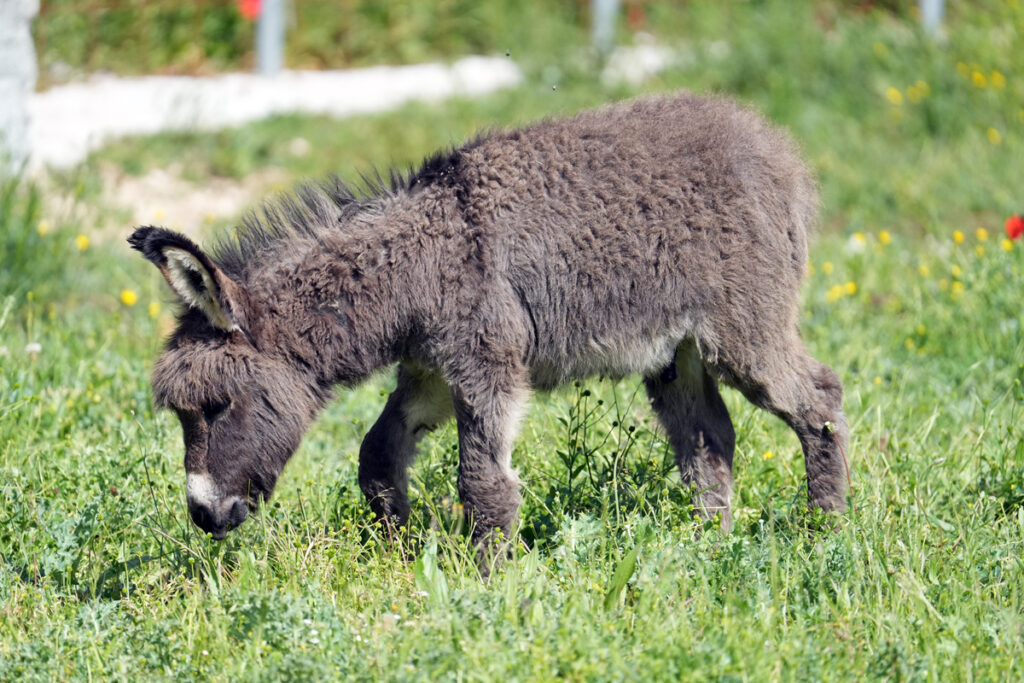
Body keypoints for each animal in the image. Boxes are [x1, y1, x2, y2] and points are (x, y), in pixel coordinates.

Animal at [128, 92, 847, 565]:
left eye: (217, 406)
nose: (203, 515)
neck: (421, 262)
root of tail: (777, 151)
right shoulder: (429, 374)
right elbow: (377, 457)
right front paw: (396, 553)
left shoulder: (486, 367)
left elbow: (483, 484)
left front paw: (490, 586)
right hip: (676, 354)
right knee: (708, 439)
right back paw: (706, 548)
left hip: (744, 332)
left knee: (819, 401)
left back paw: (826, 534)